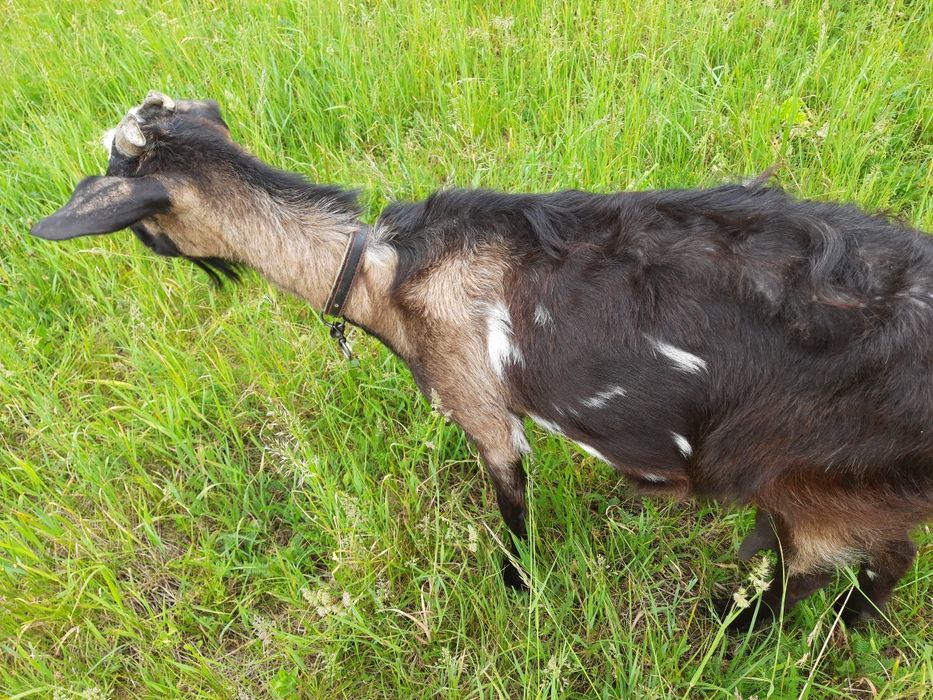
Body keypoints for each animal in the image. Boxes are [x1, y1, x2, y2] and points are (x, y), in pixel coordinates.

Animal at [32, 92, 932, 630]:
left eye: (119, 187)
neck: (382, 270)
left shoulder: (474, 397)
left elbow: (509, 500)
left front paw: (516, 587)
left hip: (813, 481)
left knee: (812, 570)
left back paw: (729, 624)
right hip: (859, 488)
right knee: (888, 558)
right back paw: (850, 627)